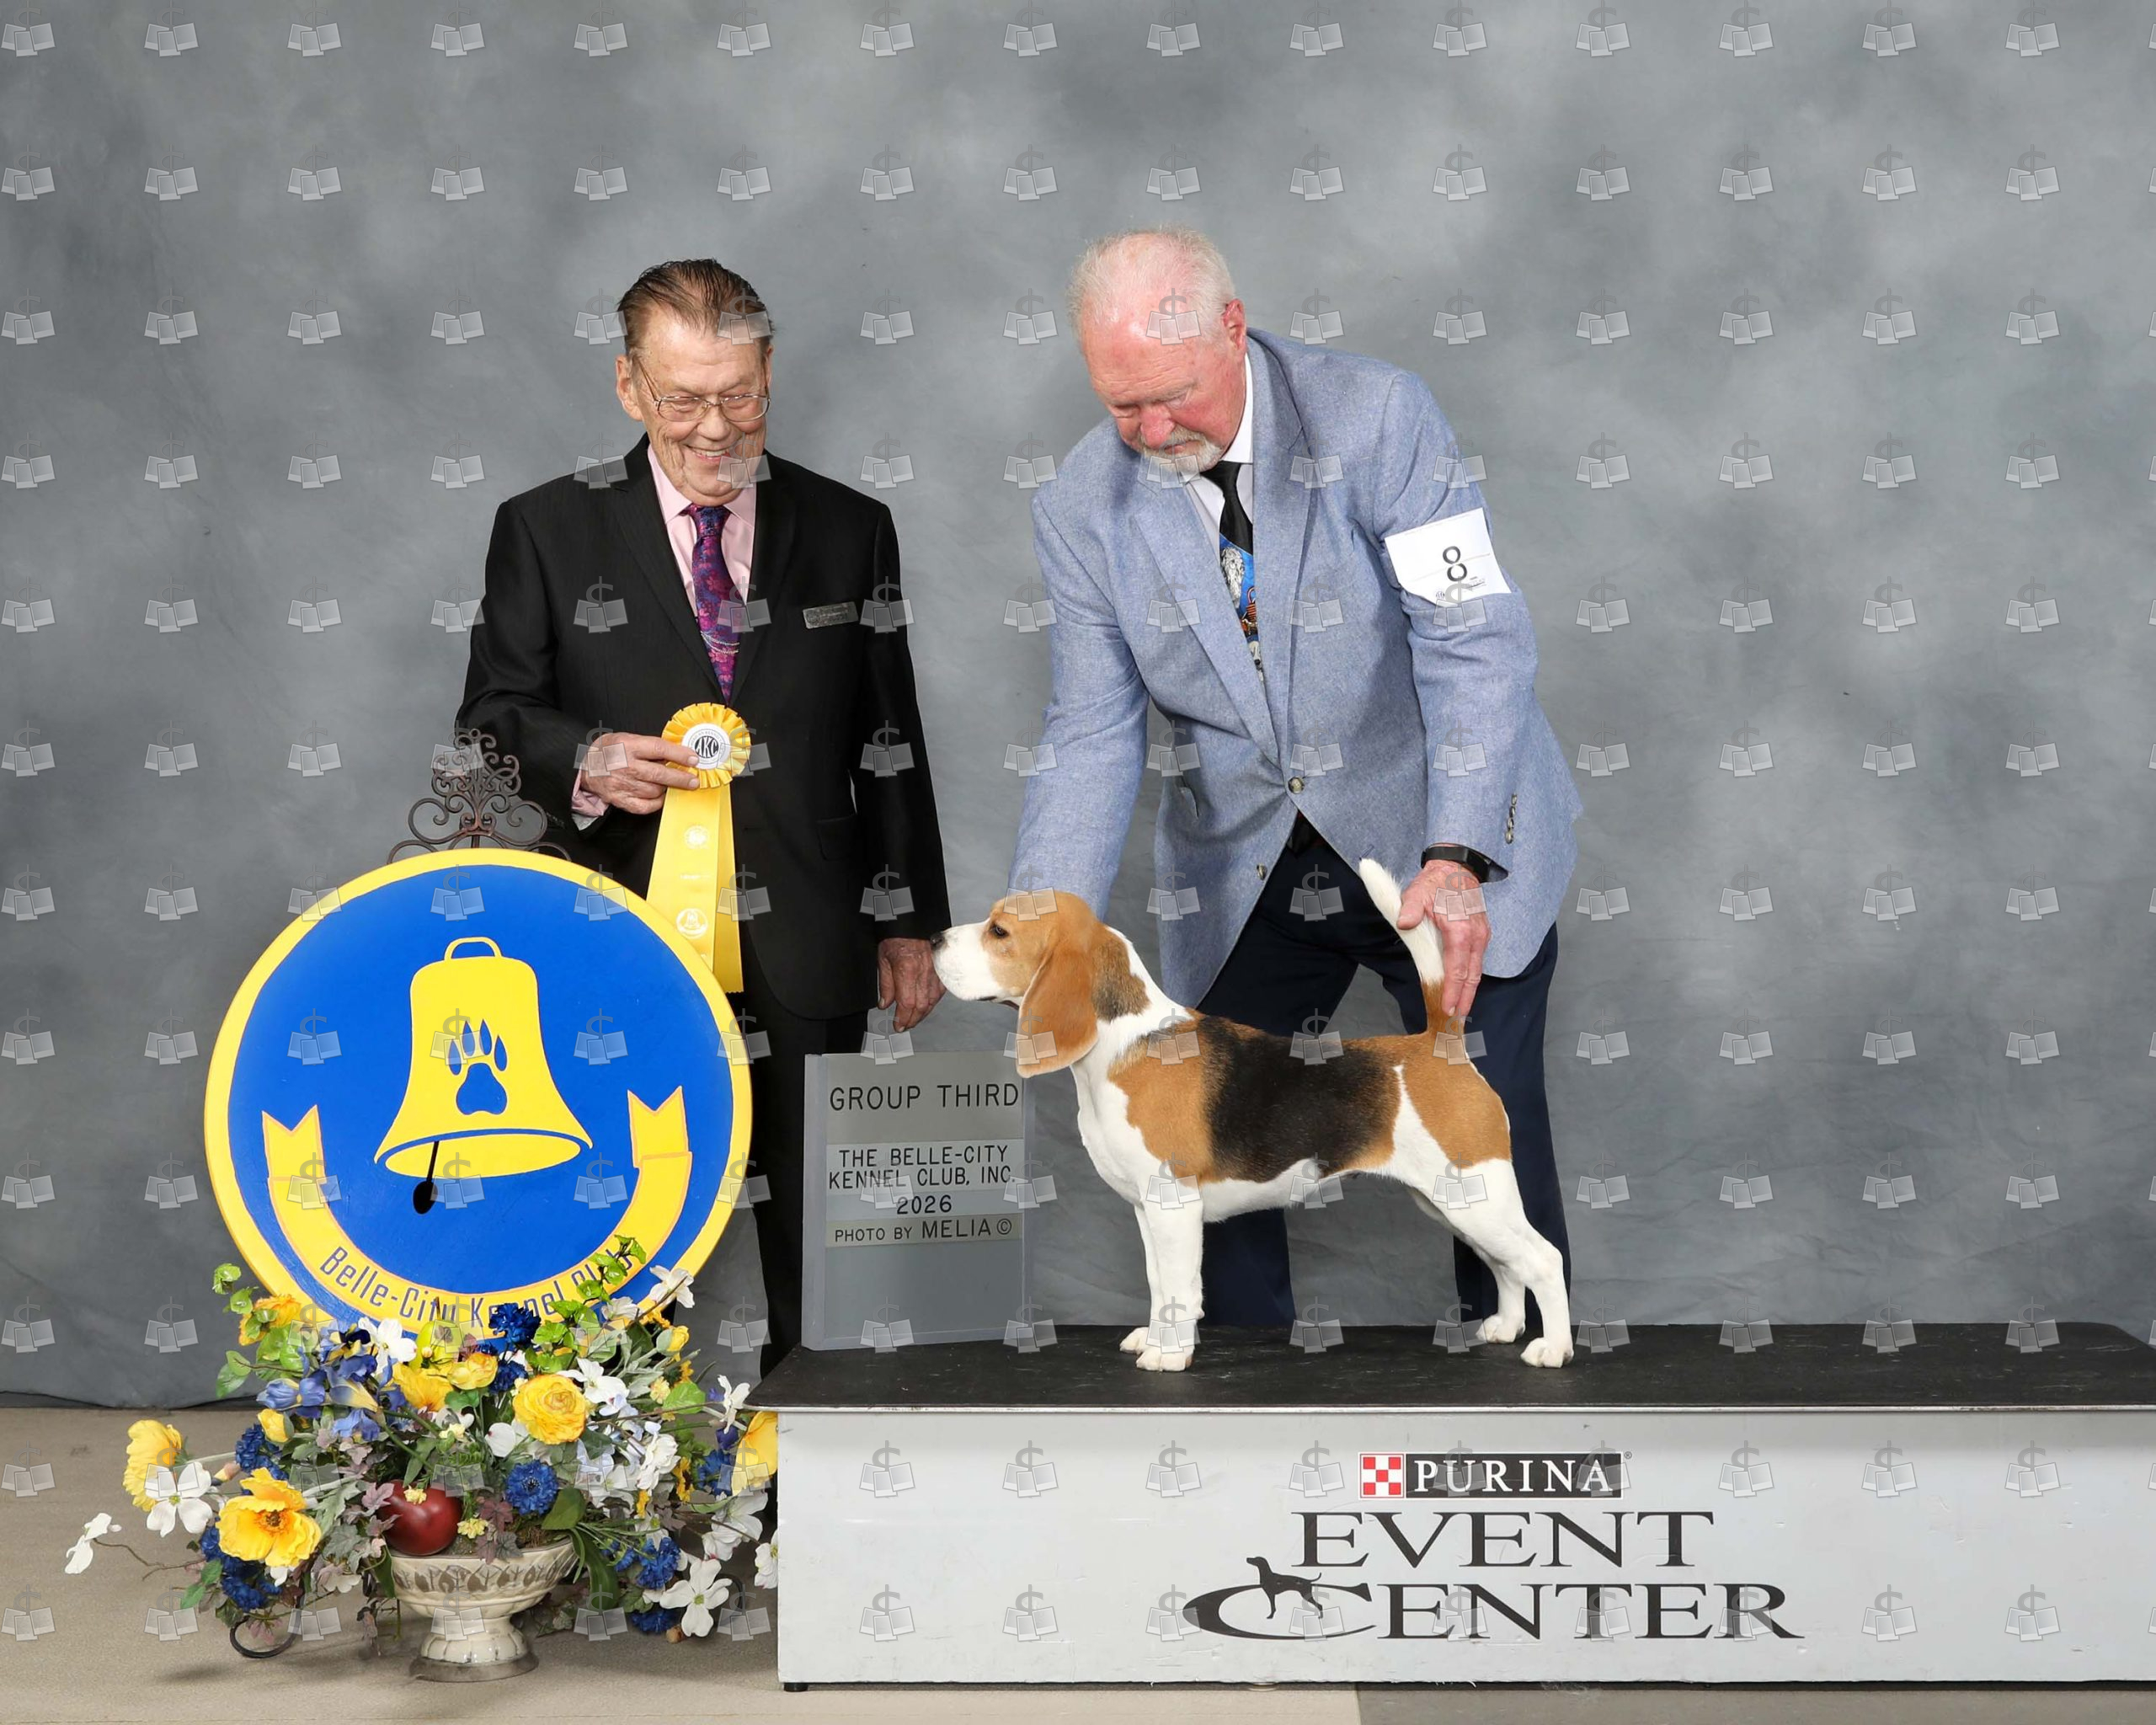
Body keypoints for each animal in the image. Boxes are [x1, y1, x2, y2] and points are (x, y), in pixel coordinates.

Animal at [930, 859, 1572, 1371]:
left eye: (999, 931)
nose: (933, 938)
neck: (1122, 1042)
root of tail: (1439, 1042)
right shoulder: (1146, 1208)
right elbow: (1158, 1284)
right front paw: (1154, 1338)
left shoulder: (1174, 1205)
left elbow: (1180, 1286)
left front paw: (1169, 1355)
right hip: (1452, 1201)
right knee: (1507, 1264)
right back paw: (1505, 1327)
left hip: (1477, 1194)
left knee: (1543, 1258)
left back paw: (1553, 1348)